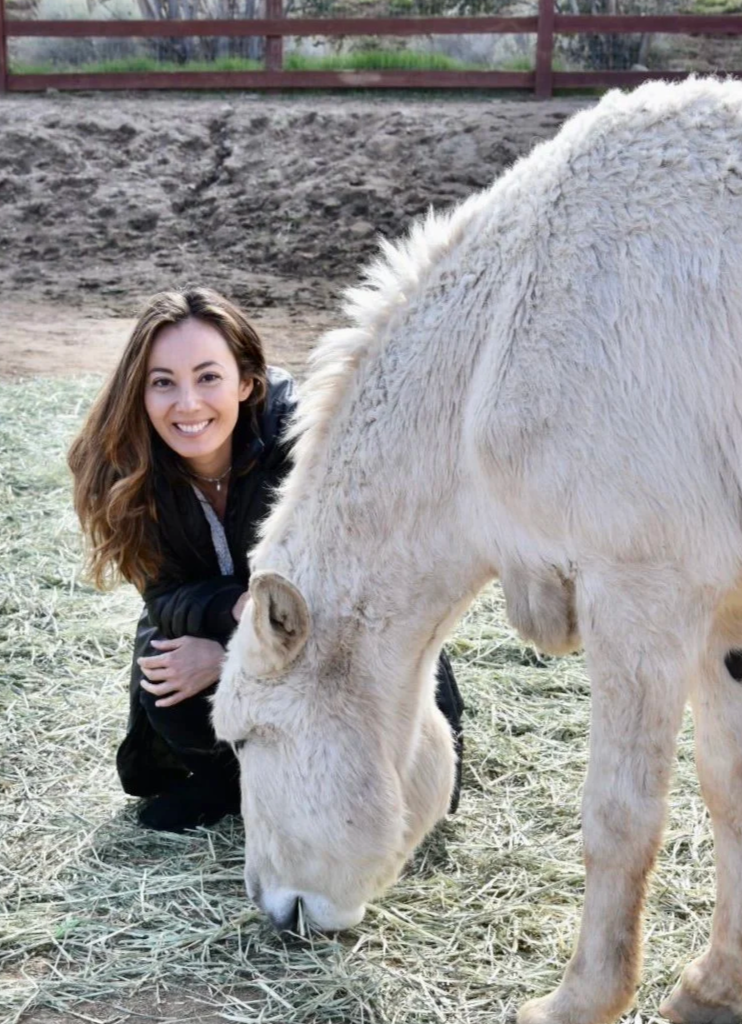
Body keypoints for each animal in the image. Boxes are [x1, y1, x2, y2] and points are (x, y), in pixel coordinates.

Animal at [212, 78, 742, 1024]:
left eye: (241, 742)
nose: (271, 906)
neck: (496, 345)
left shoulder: (644, 593)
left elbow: (621, 816)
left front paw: (581, 1000)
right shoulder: (721, 609)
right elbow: (729, 788)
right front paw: (714, 985)